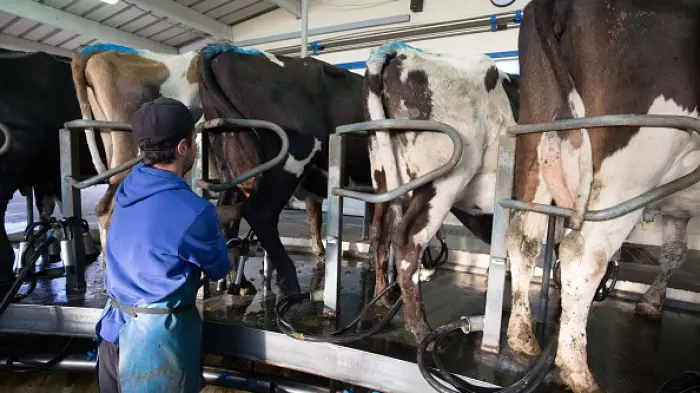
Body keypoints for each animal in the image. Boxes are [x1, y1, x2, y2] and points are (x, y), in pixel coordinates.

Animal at [506, 1, 700, 390]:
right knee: (583, 255)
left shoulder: (678, 212)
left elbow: (674, 252)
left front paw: (652, 301)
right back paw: (577, 371)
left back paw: (522, 337)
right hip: (634, 158)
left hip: (536, 140)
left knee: (523, 237)